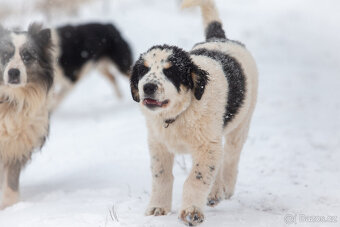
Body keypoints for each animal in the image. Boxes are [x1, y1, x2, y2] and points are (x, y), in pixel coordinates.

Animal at [0, 23, 53, 209]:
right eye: (5, 55)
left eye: (27, 56)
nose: (14, 73)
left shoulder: (15, 145)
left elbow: (11, 181)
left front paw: (9, 206)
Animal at [130, 0, 258, 225]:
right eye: (143, 70)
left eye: (170, 72)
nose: (148, 87)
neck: (178, 115)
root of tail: (219, 38)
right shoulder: (158, 143)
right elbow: (161, 175)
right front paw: (157, 208)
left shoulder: (206, 145)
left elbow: (196, 178)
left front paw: (191, 212)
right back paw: (215, 192)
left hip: (242, 121)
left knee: (231, 155)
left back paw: (225, 188)